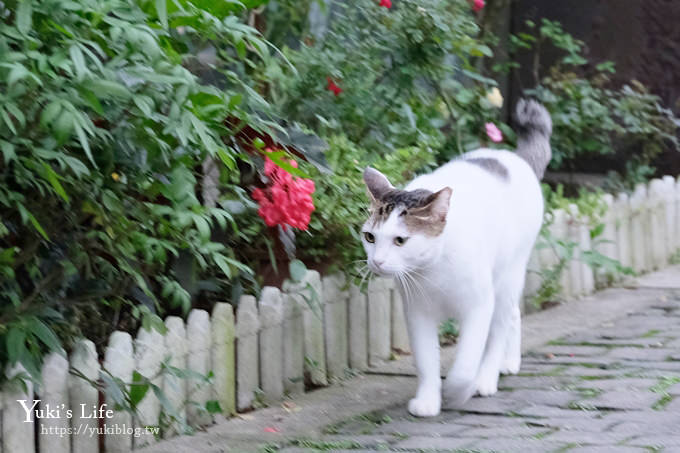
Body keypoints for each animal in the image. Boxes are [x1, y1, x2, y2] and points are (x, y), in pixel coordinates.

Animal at [362, 100, 552, 416]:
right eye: (369, 237)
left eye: (400, 240)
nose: (376, 261)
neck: (433, 270)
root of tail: (513, 158)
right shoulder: (417, 313)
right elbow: (426, 362)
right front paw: (428, 401)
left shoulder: (478, 306)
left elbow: (466, 363)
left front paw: (458, 389)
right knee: (513, 314)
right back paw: (508, 362)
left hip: (508, 277)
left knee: (502, 324)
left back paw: (490, 376)